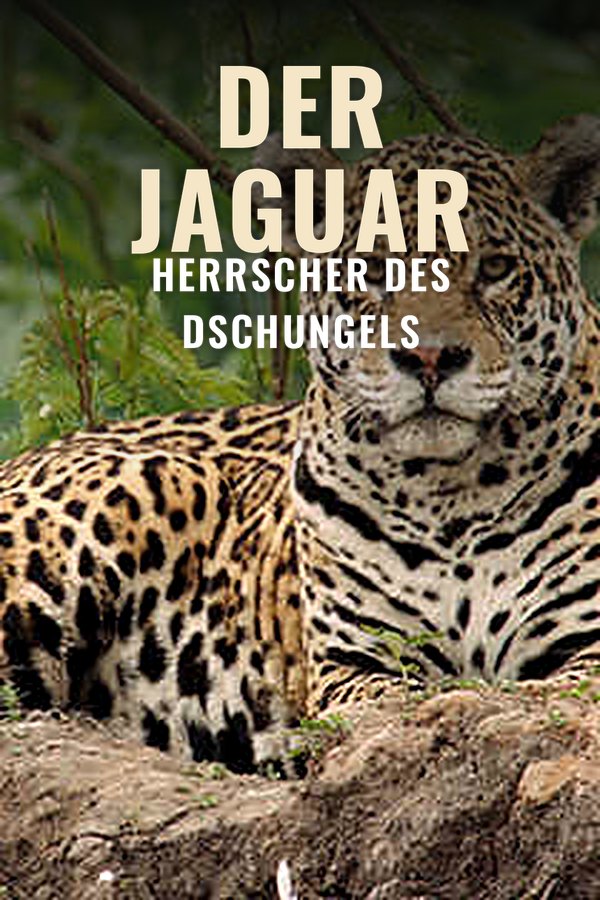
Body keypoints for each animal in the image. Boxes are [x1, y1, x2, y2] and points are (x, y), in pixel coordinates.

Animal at [0, 116, 599, 774]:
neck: (449, 497)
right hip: (152, 483)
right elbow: (396, 700)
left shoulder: (585, 644)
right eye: (372, 271)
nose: (428, 358)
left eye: (494, 268)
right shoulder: (350, 662)